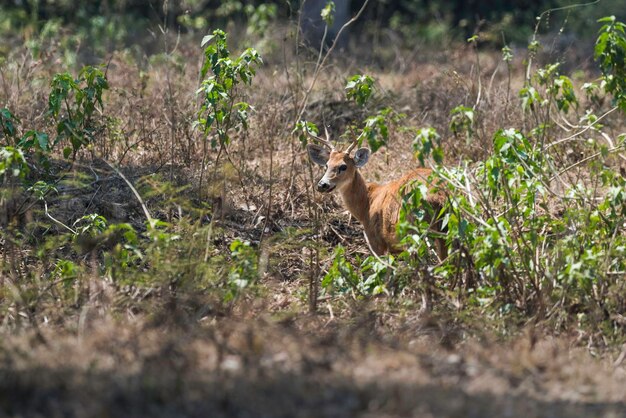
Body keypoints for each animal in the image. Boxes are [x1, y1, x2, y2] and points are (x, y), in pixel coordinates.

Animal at [306, 130, 444, 258]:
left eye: (343, 166)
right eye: (326, 165)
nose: (322, 185)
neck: (366, 204)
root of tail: (439, 196)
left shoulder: (376, 240)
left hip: (414, 230)